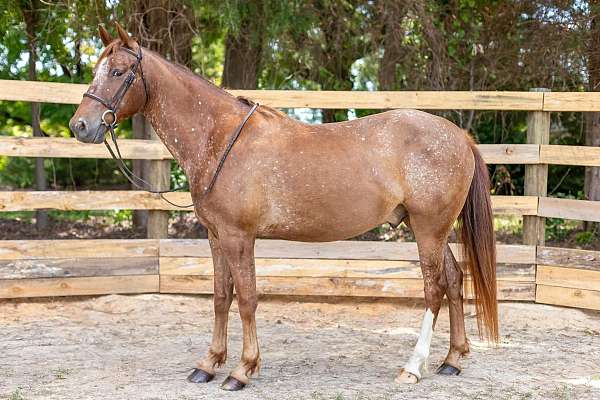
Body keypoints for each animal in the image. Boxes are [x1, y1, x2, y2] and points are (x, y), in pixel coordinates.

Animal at [70, 22, 500, 390]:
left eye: (119, 71)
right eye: (96, 69)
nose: (80, 126)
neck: (219, 138)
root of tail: (458, 135)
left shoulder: (239, 238)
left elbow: (247, 299)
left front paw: (242, 370)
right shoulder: (216, 237)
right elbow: (221, 298)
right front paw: (208, 364)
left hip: (428, 229)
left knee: (434, 289)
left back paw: (413, 367)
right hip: (430, 229)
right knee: (455, 280)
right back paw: (452, 360)